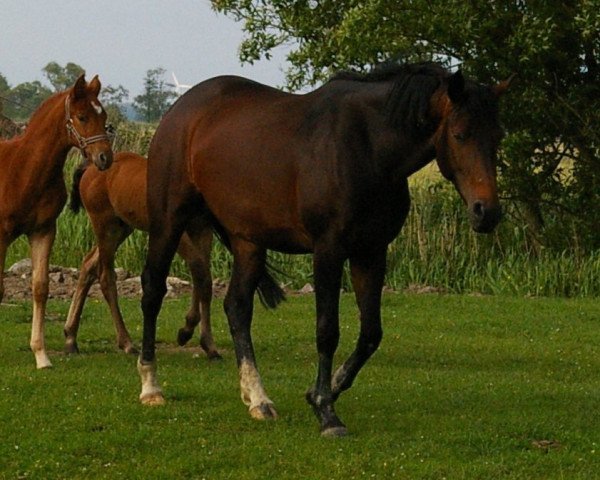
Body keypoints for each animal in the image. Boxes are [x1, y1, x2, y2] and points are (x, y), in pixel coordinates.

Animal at [0, 74, 113, 368]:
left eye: (104, 115)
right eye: (82, 117)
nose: (105, 158)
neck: (25, 169)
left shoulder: (43, 230)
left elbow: (41, 287)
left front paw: (41, 355)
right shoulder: (1, 235)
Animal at [63, 152, 284, 358]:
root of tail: (89, 168)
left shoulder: (202, 230)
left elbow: (203, 280)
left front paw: (201, 340)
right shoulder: (180, 234)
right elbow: (200, 273)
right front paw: (193, 335)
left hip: (122, 227)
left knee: (88, 264)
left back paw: (71, 338)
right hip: (105, 227)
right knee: (105, 277)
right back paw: (126, 343)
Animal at [137, 62, 510, 436]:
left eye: (498, 136)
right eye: (460, 134)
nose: (487, 212)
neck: (367, 148)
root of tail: (181, 109)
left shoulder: (370, 251)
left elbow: (371, 333)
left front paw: (326, 389)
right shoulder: (328, 250)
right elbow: (327, 330)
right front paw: (326, 411)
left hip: (248, 242)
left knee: (237, 308)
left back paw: (258, 399)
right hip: (169, 220)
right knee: (153, 290)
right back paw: (151, 386)